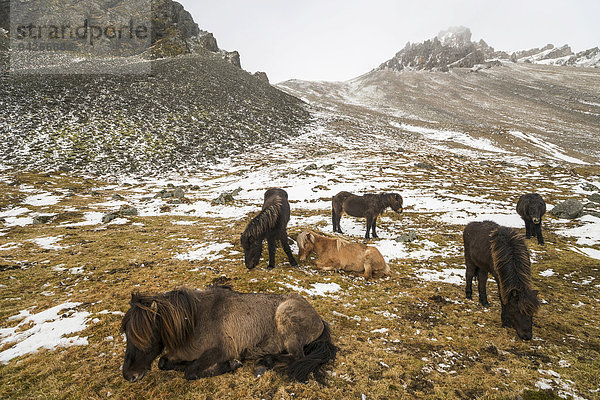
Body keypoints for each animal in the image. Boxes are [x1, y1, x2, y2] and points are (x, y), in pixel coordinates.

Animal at [120, 286, 338, 382]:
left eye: (146, 336)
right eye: (126, 334)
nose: (129, 376)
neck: (194, 322)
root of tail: (319, 319)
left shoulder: (221, 350)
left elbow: (190, 372)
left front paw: (230, 365)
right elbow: (163, 362)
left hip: (286, 318)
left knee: (296, 356)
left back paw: (263, 362)